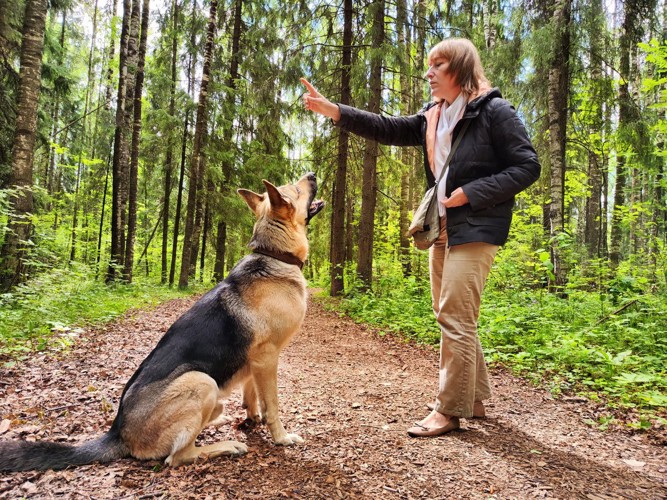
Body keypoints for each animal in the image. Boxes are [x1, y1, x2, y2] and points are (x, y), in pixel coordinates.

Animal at [0, 173, 324, 472]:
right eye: (296, 189)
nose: (311, 175)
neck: (274, 256)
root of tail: (117, 433)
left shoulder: (255, 362)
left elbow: (252, 395)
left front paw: (252, 418)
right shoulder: (267, 358)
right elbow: (273, 406)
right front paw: (281, 438)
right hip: (200, 381)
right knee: (177, 457)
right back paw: (225, 446)